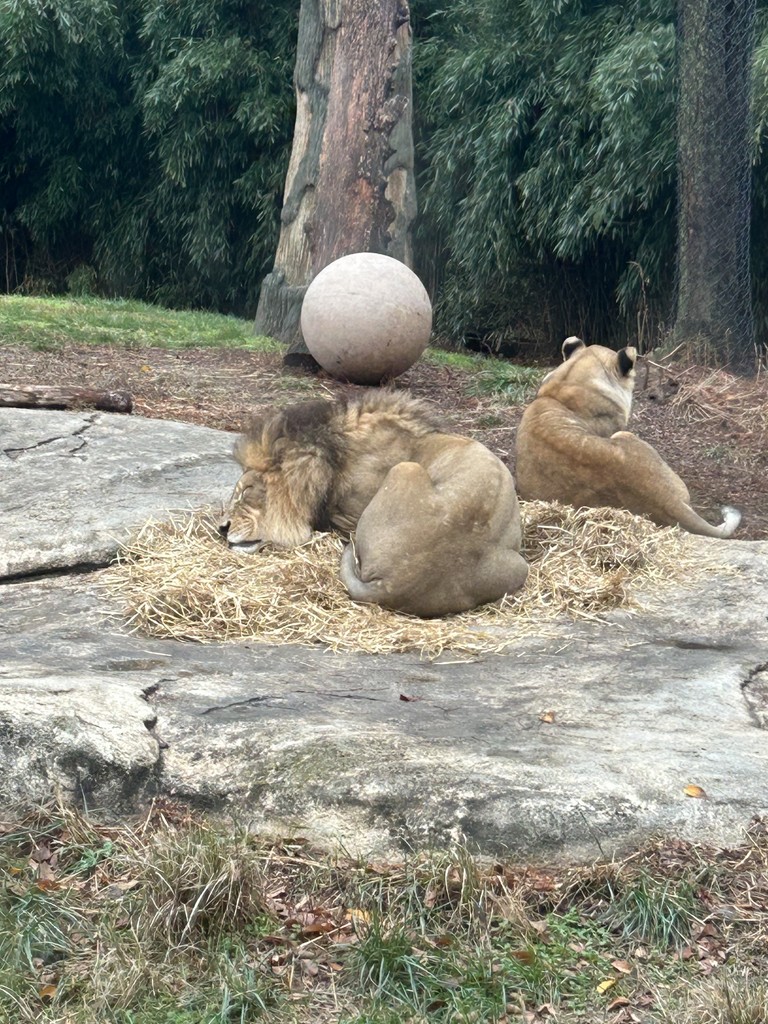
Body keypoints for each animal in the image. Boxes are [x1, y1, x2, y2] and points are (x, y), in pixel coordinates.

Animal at [219, 390, 529, 618]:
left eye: (247, 491)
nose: (222, 528)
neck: (337, 461)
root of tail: (393, 584)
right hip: (519, 566)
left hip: (406, 469)